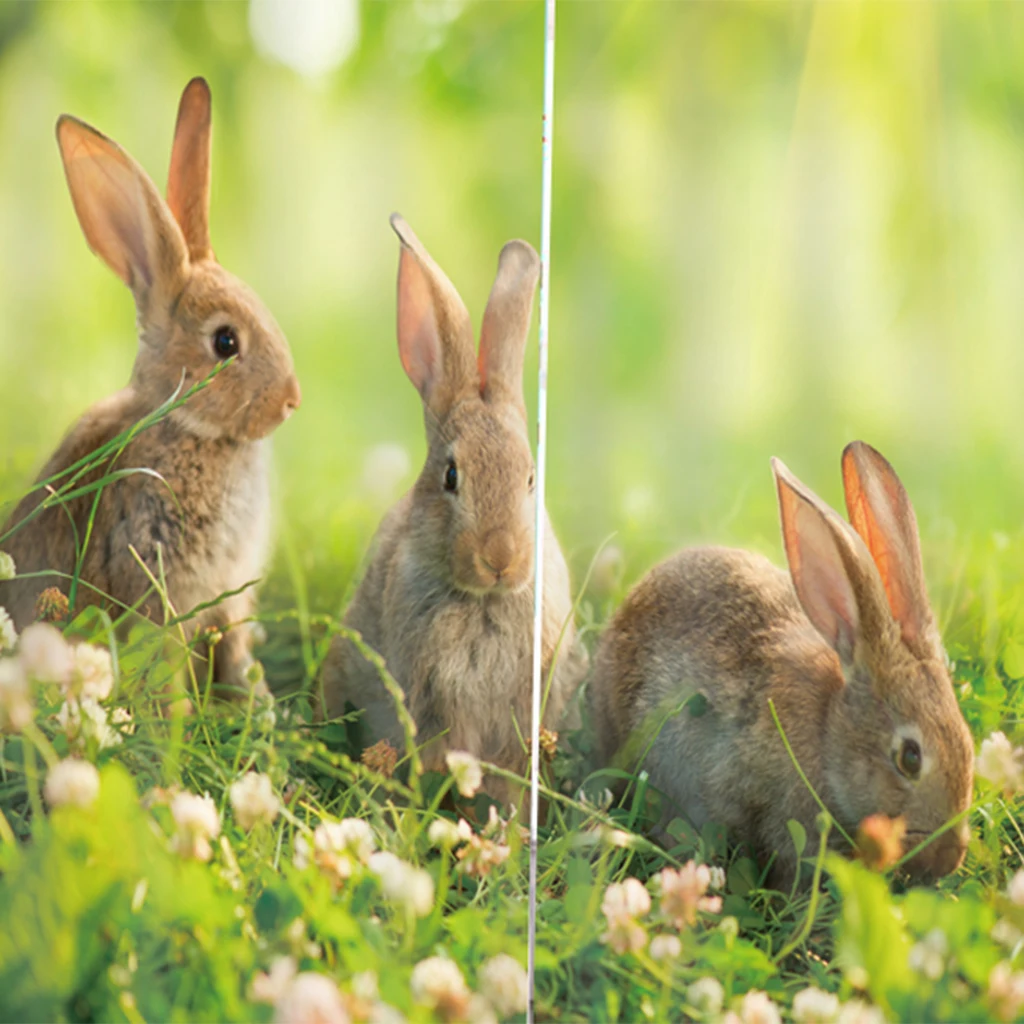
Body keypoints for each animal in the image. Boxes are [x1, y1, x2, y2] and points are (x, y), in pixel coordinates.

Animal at [0, 78, 301, 697]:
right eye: (226, 342)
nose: (291, 400)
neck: (190, 428)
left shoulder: (228, 601)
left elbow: (235, 652)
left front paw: (258, 702)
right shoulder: (157, 578)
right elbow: (163, 663)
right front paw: (175, 713)